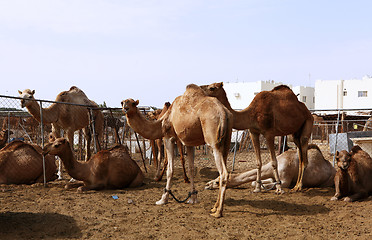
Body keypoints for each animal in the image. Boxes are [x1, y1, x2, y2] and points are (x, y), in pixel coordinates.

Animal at [122, 84, 232, 218]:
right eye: (122, 102)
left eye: (133, 103)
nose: (125, 107)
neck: (163, 121)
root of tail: (224, 113)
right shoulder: (189, 143)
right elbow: (191, 169)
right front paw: (193, 198)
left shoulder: (168, 137)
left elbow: (170, 169)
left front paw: (163, 199)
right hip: (226, 141)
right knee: (221, 172)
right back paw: (214, 207)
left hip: (213, 140)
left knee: (224, 173)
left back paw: (218, 212)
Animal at [205, 144, 336, 191]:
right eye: (217, 178)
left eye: (217, 182)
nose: (207, 185)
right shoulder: (272, 177)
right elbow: (254, 182)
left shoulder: (285, 181)